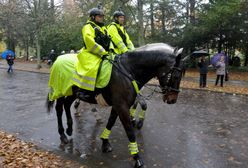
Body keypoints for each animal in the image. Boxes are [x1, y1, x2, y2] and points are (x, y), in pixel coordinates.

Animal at [46, 43, 186, 167]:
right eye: (176, 76)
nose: (172, 100)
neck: (128, 71)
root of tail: (59, 58)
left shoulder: (118, 105)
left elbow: (111, 122)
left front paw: (105, 142)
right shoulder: (122, 107)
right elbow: (129, 131)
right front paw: (136, 157)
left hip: (72, 92)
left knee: (67, 105)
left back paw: (70, 128)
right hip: (60, 91)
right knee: (59, 109)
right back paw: (63, 135)